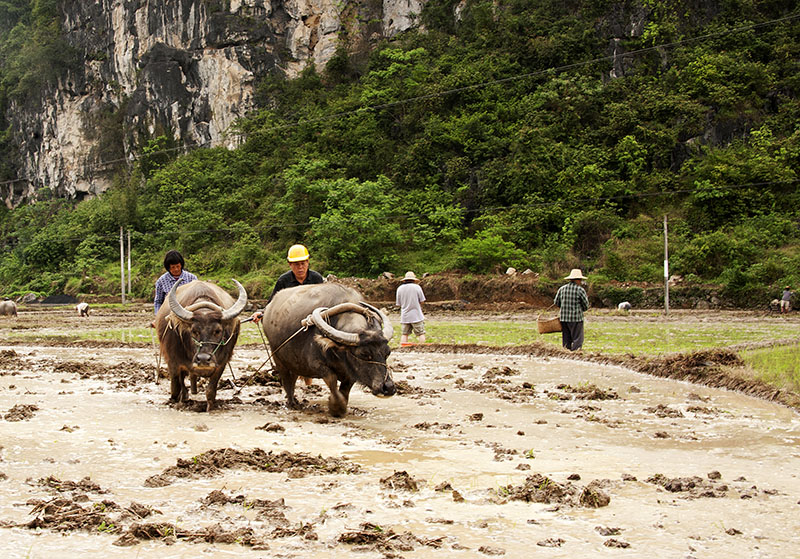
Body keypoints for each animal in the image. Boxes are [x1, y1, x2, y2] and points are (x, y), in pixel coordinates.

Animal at [155, 280, 245, 412]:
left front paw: (210, 408)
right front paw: (178, 401)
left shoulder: (221, 364)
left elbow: (211, 390)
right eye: (194, 331)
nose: (203, 359)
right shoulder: (173, 361)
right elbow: (177, 385)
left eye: (217, 331)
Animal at [264, 282, 396, 418]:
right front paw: (336, 407)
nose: (388, 387)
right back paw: (291, 403)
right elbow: (332, 379)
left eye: (387, 352)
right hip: (278, 359)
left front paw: (342, 405)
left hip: (294, 363)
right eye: (364, 354)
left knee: (293, 378)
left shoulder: (352, 371)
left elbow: (345, 388)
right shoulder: (316, 364)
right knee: (287, 381)